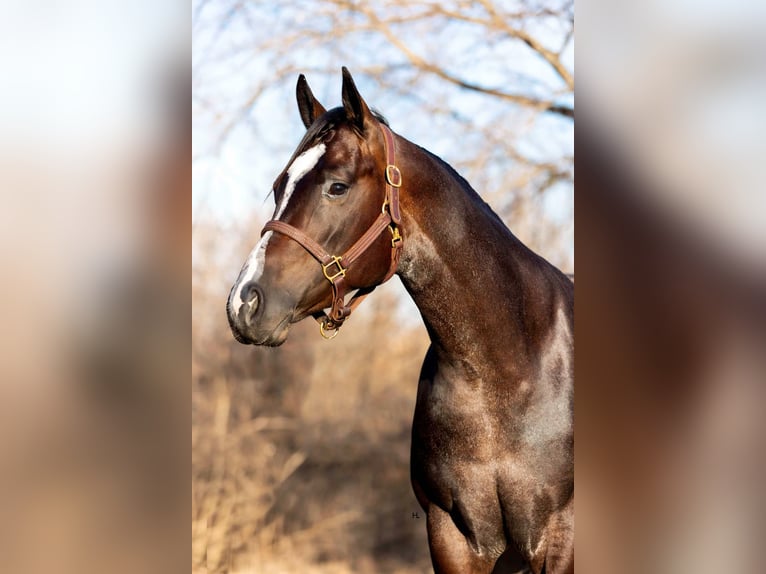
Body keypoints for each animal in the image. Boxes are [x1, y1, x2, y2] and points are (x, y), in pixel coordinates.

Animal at [227, 68, 574, 574]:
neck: (505, 371)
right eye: (278, 187)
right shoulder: (451, 536)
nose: (244, 303)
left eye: (337, 186)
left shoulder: (560, 539)